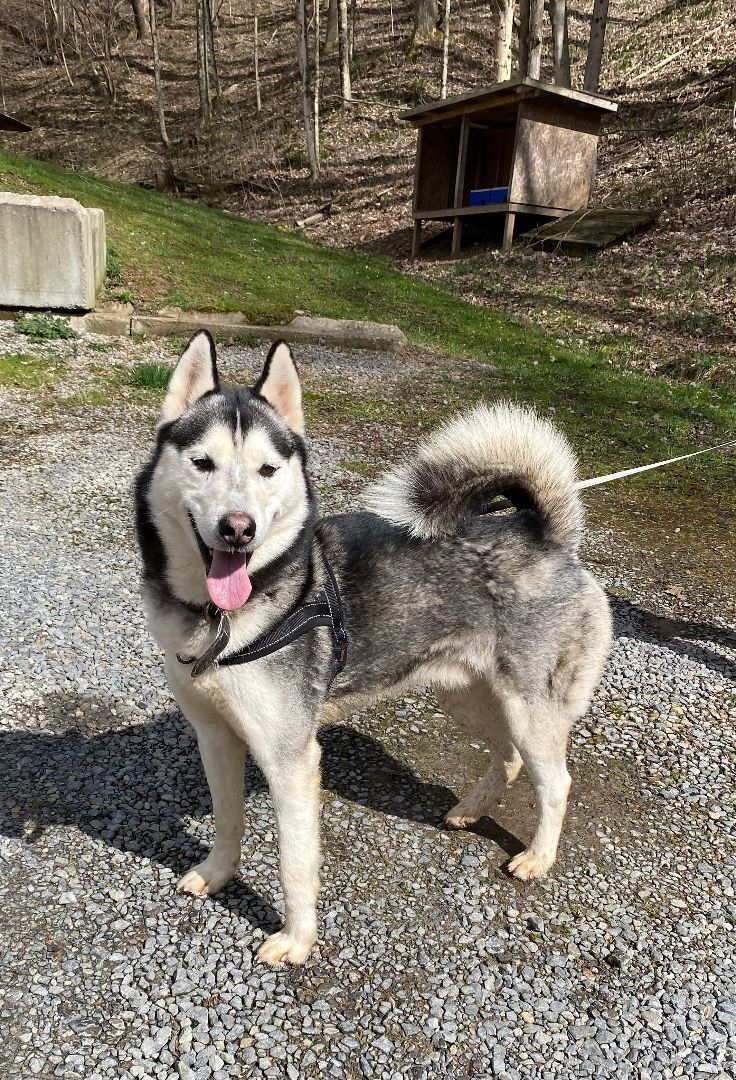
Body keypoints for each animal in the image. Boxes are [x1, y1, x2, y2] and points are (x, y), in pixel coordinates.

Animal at [135, 332, 609, 967]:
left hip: (529, 709)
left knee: (555, 782)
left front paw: (297, 940)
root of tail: (544, 534)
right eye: (202, 463)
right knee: (508, 758)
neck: (225, 617)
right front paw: (216, 874)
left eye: (267, 470)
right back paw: (471, 810)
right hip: (468, 695)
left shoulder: (289, 759)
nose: (239, 528)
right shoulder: (216, 736)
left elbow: (294, 864)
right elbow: (227, 821)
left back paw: (537, 857)